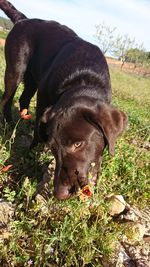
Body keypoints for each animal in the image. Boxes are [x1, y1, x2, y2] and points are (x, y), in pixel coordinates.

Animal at [0, 1, 127, 200]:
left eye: (78, 144)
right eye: (53, 146)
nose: (60, 193)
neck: (82, 78)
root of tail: (23, 19)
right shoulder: (43, 104)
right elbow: (37, 136)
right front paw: (30, 157)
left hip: (32, 80)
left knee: (23, 99)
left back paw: (22, 120)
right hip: (16, 70)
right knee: (6, 99)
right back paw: (8, 123)